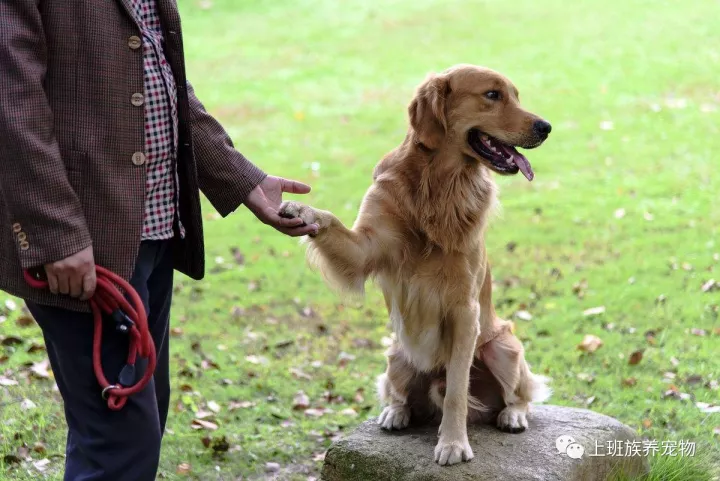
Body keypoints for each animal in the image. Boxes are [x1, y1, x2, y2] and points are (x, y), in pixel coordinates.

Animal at [280, 64, 552, 464]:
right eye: (493, 95)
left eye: (515, 95)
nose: (546, 127)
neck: (439, 184)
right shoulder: (366, 248)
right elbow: (330, 221)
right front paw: (301, 209)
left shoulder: (464, 309)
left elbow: (456, 390)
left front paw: (453, 443)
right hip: (396, 355)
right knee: (400, 393)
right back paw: (395, 412)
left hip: (502, 348)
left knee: (519, 393)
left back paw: (513, 415)